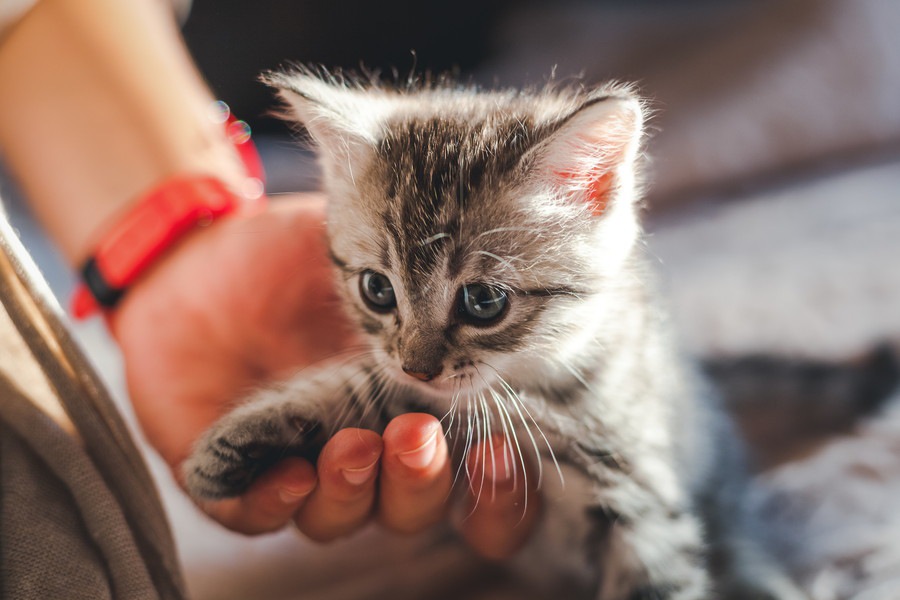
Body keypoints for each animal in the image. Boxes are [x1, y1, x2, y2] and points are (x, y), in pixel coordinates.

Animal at [183, 71, 800, 600]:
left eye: (484, 302)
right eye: (377, 290)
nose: (417, 366)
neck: (532, 386)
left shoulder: (637, 496)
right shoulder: (420, 393)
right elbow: (364, 384)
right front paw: (236, 443)